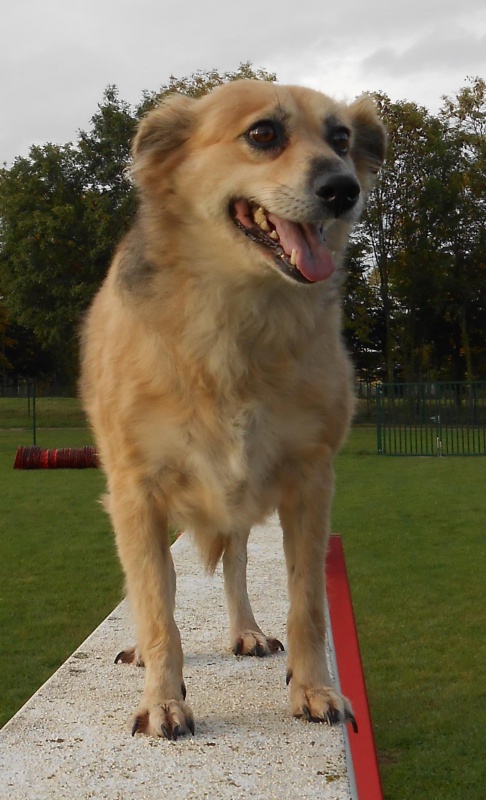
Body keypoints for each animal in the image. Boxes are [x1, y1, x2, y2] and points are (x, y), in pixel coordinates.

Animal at [79, 78, 386, 740]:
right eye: (263, 133)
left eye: (341, 138)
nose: (342, 189)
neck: (237, 323)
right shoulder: (136, 491)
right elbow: (157, 607)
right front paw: (162, 697)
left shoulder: (310, 482)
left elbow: (307, 605)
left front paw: (313, 688)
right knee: (157, 588)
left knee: (237, 562)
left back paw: (245, 630)